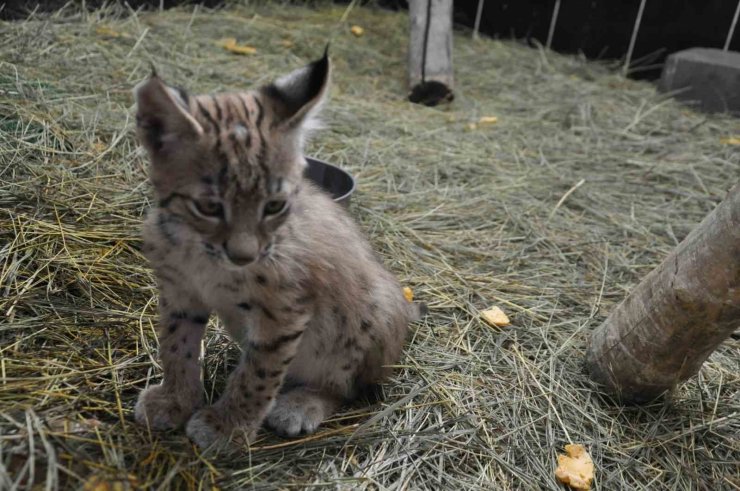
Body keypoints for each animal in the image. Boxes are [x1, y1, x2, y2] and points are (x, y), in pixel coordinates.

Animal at [132, 52, 422, 450]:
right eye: (208, 207)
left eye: (274, 206)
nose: (244, 256)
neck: (201, 253)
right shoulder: (179, 293)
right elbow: (177, 347)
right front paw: (175, 400)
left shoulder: (283, 313)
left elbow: (258, 374)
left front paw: (226, 426)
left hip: (373, 310)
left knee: (348, 388)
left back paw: (301, 404)